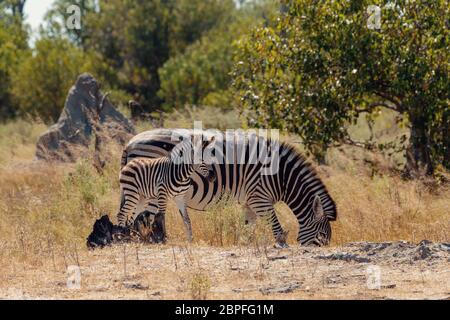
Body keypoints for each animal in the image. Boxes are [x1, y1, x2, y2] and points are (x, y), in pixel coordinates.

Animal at [120, 129, 338, 246]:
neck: (279, 175)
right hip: (149, 188)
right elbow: (276, 227)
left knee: (136, 216)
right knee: (142, 218)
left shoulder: (251, 203)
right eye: (321, 237)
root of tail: (130, 142)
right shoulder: (260, 199)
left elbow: (248, 228)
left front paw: (245, 246)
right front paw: (281, 244)